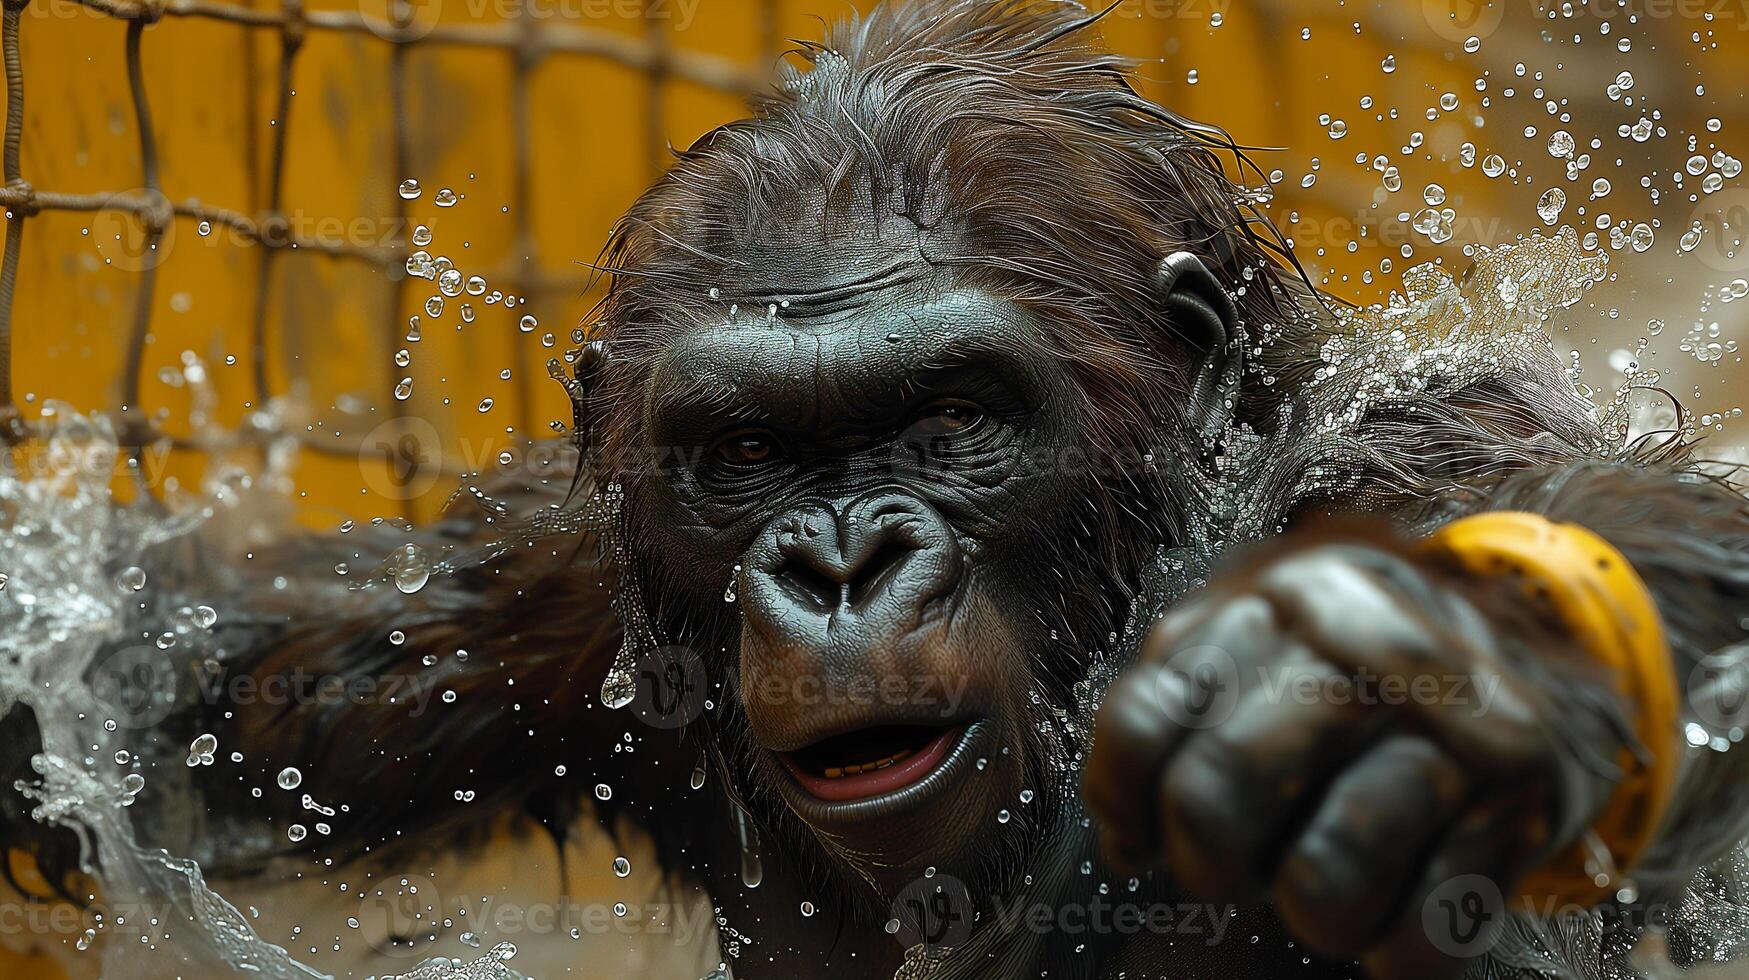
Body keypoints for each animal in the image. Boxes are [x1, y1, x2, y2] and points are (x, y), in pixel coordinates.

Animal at [3, 1, 1749, 980]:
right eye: (751, 454)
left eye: (950, 417)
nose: (840, 561)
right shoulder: (554, 604)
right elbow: (216, 680)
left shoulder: (1401, 463)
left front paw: (1420, 671)